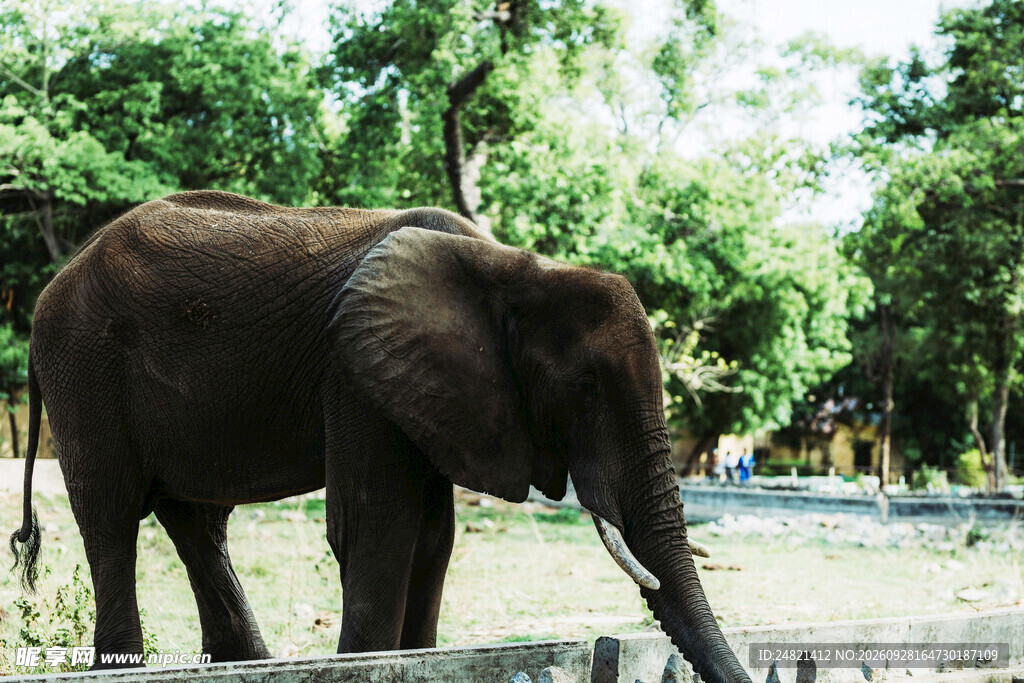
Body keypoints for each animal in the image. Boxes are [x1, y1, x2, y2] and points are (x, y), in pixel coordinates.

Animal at [10, 190, 750, 682]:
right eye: (586, 387)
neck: (513, 267)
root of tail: (51, 286)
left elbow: (432, 536)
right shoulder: (357, 374)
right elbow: (378, 527)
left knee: (195, 523)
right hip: (84, 368)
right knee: (112, 519)